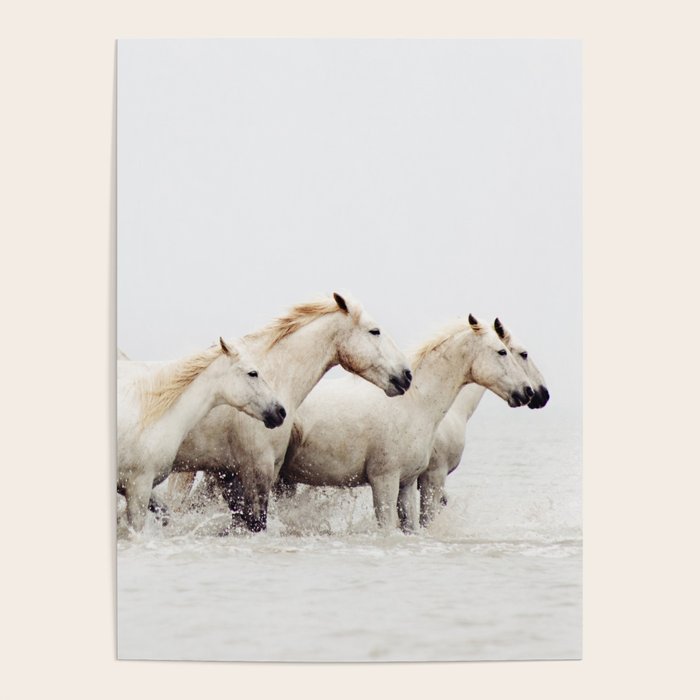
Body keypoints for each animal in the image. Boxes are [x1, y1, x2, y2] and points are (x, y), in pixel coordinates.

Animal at [168, 293, 412, 532]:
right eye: (375, 331)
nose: (407, 375)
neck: (273, 377)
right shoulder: (257, 469)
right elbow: (255, 522)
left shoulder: (230, 473)